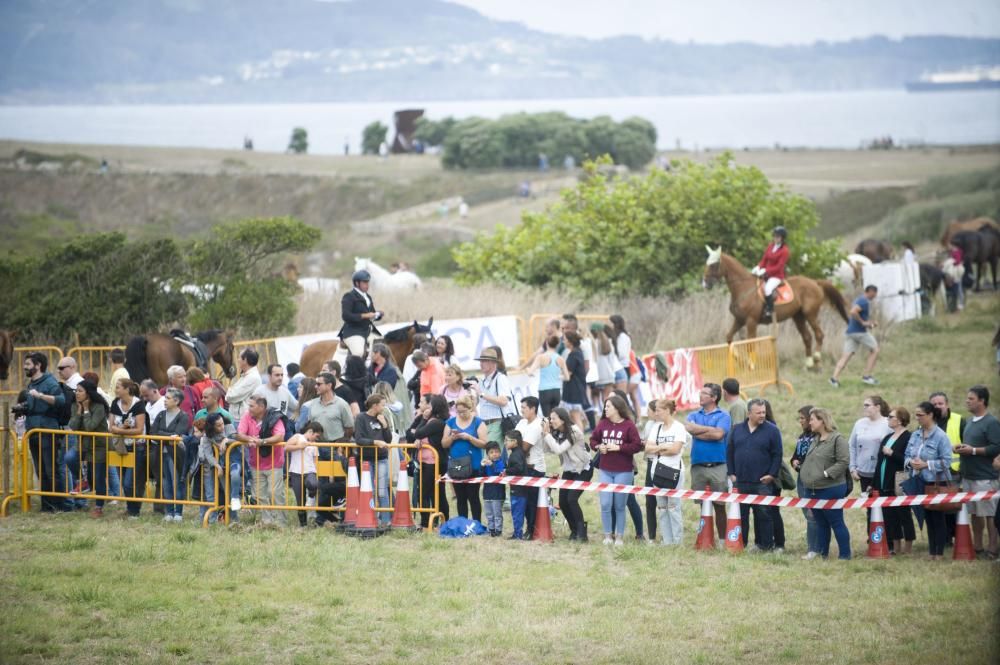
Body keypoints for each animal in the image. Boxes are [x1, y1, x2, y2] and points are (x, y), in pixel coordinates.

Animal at [700, 246, 848, 368]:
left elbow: (750, 342)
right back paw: (809, 364)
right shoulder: (739, 320)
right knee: (807, 337)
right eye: (707, 263)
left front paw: (751, 364)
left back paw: (817, 359)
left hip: (810, 314)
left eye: (714, 265)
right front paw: (740, 360)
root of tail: (815, 282)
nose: (705, 284)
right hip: (798, 316)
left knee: (819, 334)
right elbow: (729, 338)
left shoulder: (751, 321)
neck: (743, 288)